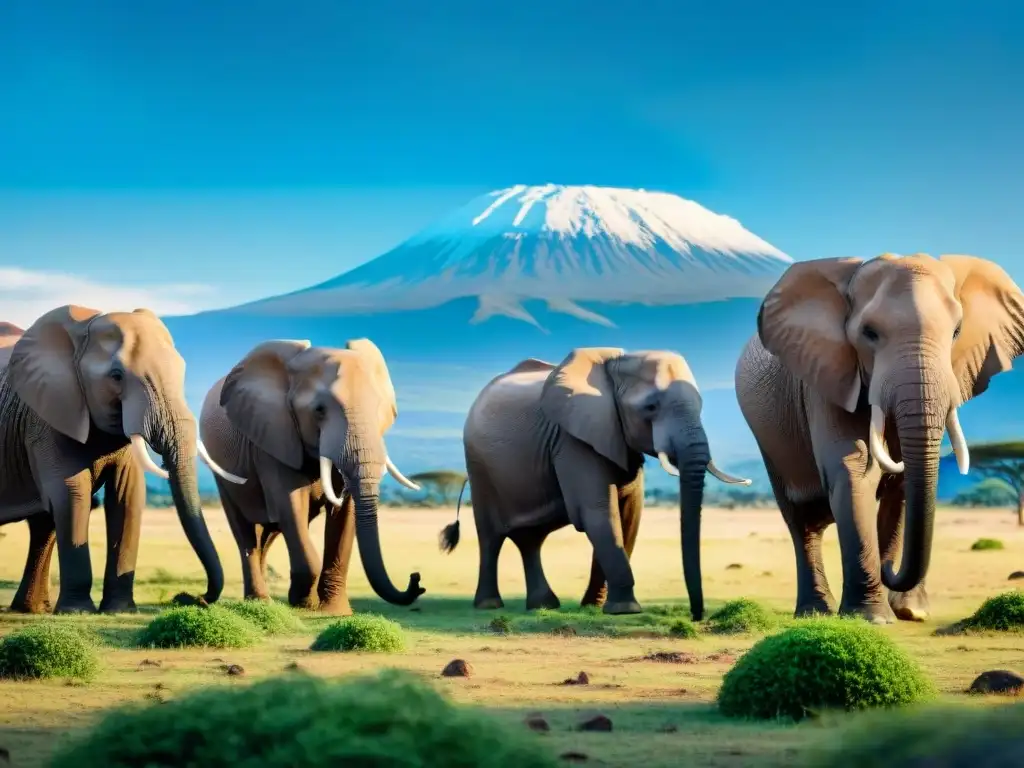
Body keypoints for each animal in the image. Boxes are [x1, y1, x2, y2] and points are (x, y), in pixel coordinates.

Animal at [0, 305, 245, 614]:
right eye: (116, 376)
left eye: (182, 370)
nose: (190, 597)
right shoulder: (46, 418)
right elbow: (72, 495)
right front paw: (79, 612)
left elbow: (127, 494)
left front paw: (120, 610)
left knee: (43, 524)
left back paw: (31, 610)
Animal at [198, 338, 424, 613]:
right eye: (319, 410)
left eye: (380, 409)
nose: (416, 579)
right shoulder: (273, 436)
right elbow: (290, 503)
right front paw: (304, 605)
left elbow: (345, 512)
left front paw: (334, 611)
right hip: (223, 473)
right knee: (246, 531)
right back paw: (261, 602)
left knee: (269, 533)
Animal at [438, 348, 751, 619]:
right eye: (650, 407)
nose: (697, 616)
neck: (615, 367)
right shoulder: (572, 440)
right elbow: (599, 512)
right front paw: (624, 610)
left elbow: (628, 515)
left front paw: (595, 606)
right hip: (480, 467)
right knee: (491, 537)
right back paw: (490, 605)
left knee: (530, 540)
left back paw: (544, 605)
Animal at [735, 253, 1024, 624]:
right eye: (869, 333)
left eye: (957, 331)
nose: (889, 569)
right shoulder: (828, 376)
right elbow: (853, 471)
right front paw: (872, 618)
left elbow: (902, 486)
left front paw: (912, 613)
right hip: (768, 437)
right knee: (801, 520)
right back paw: (815, 613)